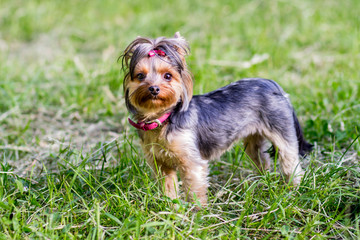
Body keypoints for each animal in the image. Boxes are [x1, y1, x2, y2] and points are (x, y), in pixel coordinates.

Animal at [121, 32, 312, 206]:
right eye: (140, 76)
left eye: (167, 76)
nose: (154, 88)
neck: (162, 119)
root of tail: (273, 85)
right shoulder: (160, 164)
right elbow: (168, 189)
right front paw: (172, 210)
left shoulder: (192, 163)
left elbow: (194, 191)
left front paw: (196, 214)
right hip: (254, 141)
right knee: (261, 159)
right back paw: (262, 184)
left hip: (282, 132)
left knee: (290, 163)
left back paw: (293, 192)